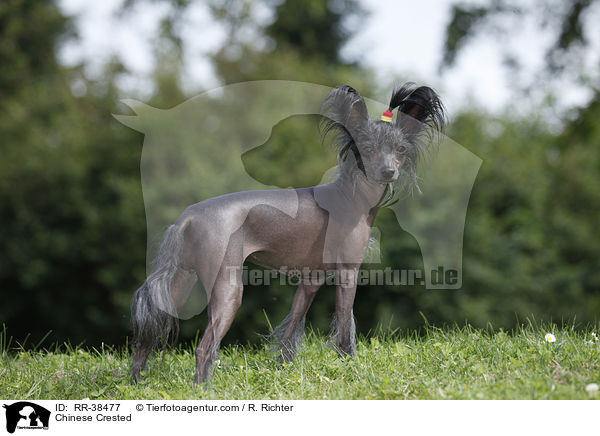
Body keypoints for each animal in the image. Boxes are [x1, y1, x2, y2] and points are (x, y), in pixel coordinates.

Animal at [131, 83, 446, 384]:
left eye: (400, 149)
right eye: (367, 149)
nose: (388, 171)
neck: (352, 196)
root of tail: (188, 216)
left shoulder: (309, 282)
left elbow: (291, 331)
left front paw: (283, 371)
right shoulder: (348, 273)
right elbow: (346, 327)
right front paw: (350, 367)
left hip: (180, 283)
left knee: (147, 338)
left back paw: (136, 383)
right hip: (228, 288)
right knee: (204, 347)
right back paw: (204, 389)